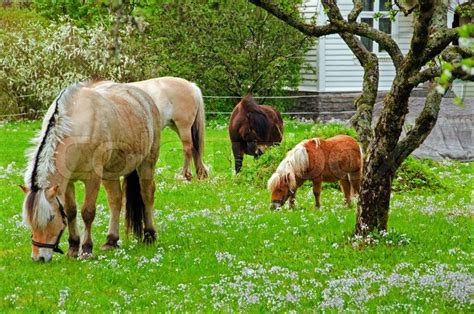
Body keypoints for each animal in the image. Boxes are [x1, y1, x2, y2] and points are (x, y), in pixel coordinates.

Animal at [21, 81, 161, 262]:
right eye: (30, 221)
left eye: (51, 217)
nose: (39, 258)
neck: (77, 126)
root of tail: (145, 98)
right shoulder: (68, 181)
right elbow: (71, 211)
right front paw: (73, 247)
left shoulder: (93, 178)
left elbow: (87, 212)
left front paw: (86, 249)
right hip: (110, 173)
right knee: (115, 200)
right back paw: (111, 240)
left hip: (147, 163)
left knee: (147, 195)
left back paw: (150, 235)